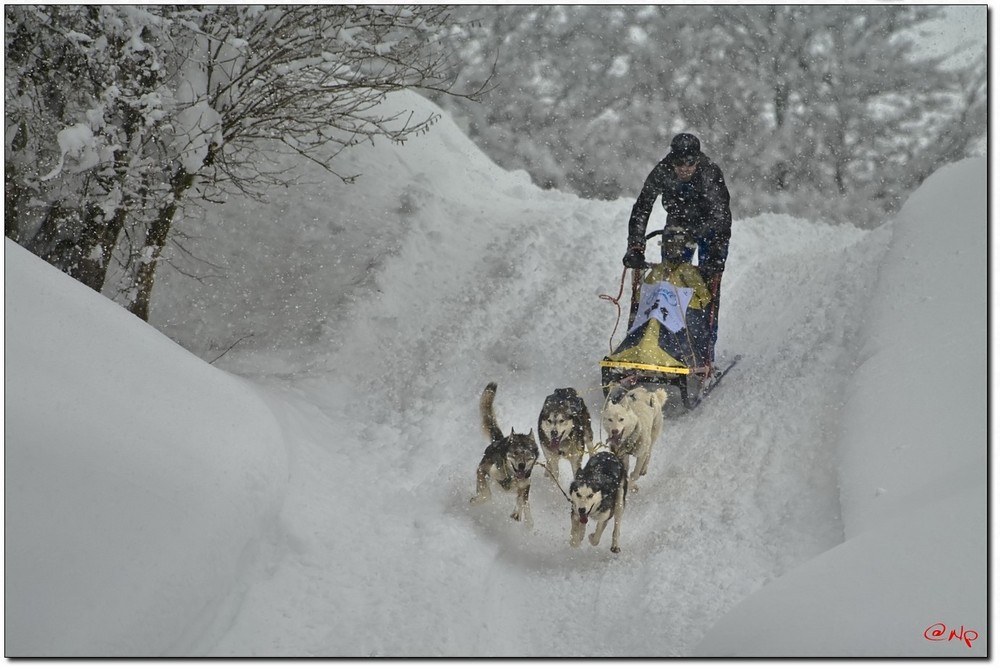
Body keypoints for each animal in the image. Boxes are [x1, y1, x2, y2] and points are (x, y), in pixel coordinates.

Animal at [470, 386, 540, 528]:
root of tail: (498, 439)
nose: (521, 466)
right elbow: (486, 494)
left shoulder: (526, 484)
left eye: (528, 455)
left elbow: (523, 501)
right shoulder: (482, 470)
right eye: (515, 453)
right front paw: (476, 501)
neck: (510, 475)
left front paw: (523, 517)